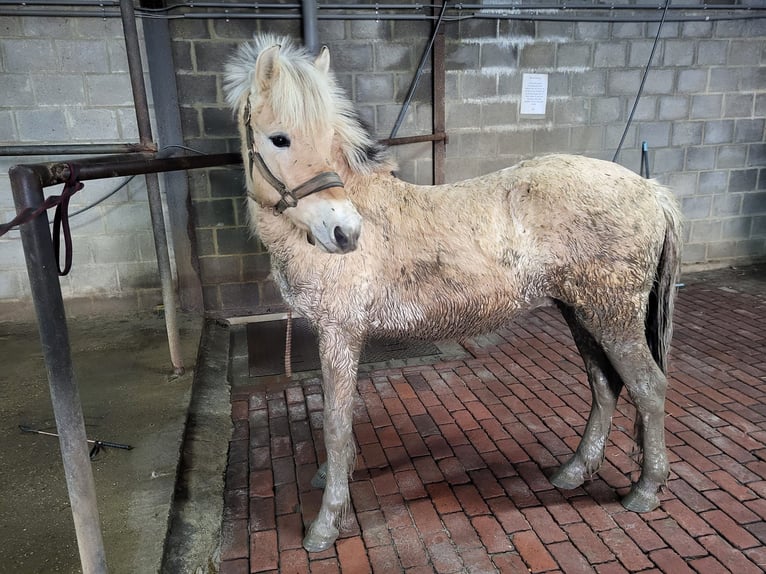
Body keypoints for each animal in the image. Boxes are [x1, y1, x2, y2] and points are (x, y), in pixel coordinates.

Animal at [224, 35, 684, 552]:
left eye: (327, 141)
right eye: (279, 138)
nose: (344, 232)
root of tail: (651, 190)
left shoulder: (340, 335)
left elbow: (336, 424)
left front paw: (326, 523)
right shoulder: (335, 338)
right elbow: (337, 412)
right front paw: (332, 478)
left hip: (613, 317)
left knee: (648, 387)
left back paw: (646, 489)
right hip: (581, 312)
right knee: (604, 386)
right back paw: (573, 471)